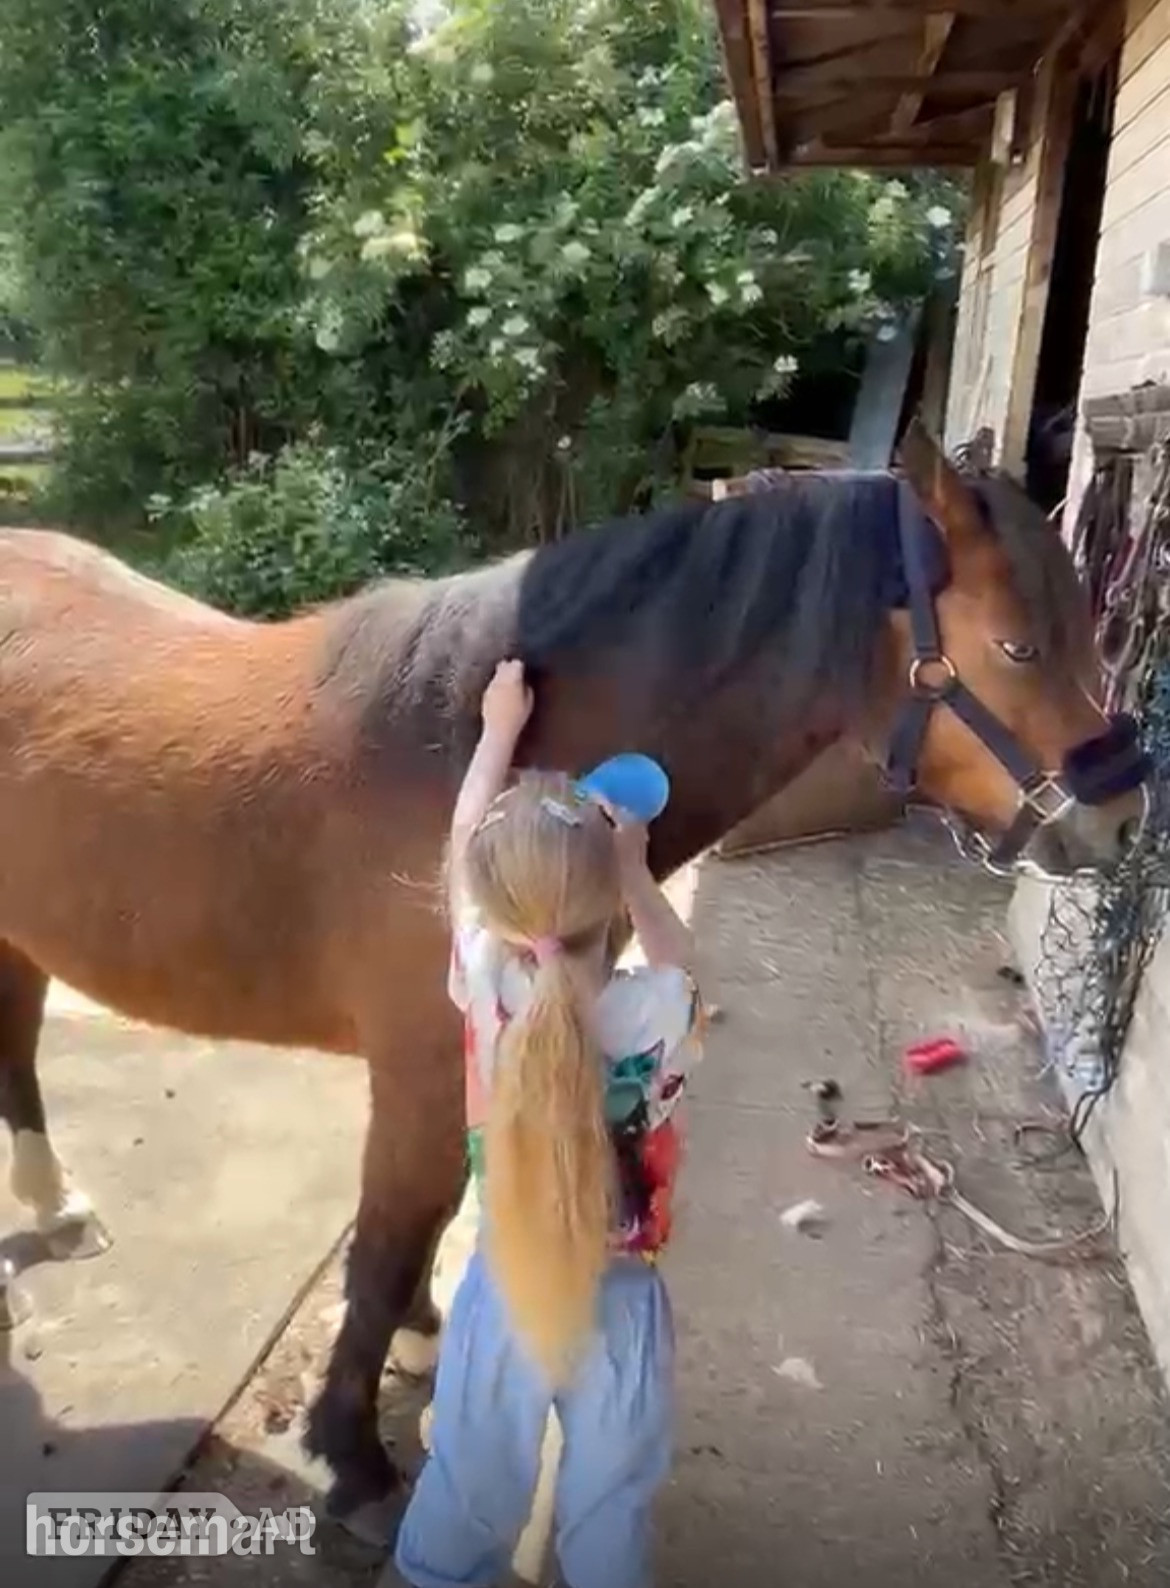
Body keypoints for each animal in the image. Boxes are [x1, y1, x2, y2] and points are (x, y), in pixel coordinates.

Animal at [0, 424, 1149, 1521]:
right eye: (1016, 645)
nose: (1124, 820)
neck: (477, 757)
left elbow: (420, 1232)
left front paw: (417, 1344)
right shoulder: (420, 1073)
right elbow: (385, 1246)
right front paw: (355, 1455)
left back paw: (57, 1211)